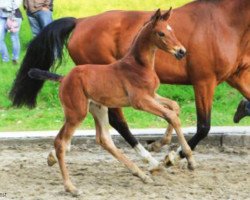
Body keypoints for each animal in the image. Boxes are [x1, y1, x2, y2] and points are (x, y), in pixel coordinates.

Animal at [28, 9, 193, 195]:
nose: (181, 51)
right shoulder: (140, 101)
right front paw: (188, 156)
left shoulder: (151, 95)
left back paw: (141, 175)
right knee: (61, 142)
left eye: (172, 30)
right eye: (161, 33)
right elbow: (170, 114)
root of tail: (63, 79)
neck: (138, 65)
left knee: (103, 139)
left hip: (97, 108)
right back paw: (71, 187)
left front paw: (164, 147)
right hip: (77, 113)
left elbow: (174, 107)